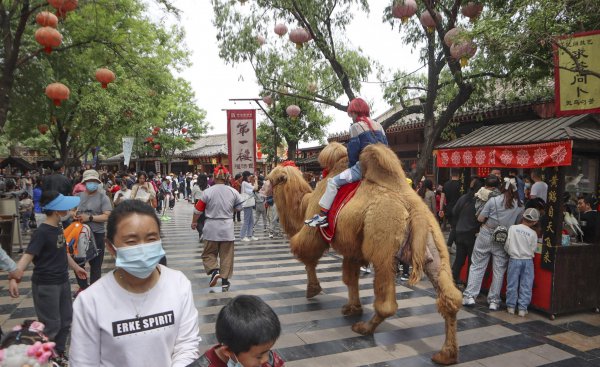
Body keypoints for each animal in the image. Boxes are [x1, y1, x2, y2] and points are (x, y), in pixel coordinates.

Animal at [266, 142, 464, 366]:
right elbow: (350, 278)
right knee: (450, 296)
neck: (304, 203)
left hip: (383, 246)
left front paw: (313, 290)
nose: (264, 190)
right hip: (434, 244)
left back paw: (364, 328)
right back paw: (446, 354)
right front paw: (353, 307)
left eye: (273, 177)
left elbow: (307, 255)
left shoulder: (314, 232)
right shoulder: (353, 248)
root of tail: (415, 211)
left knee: (387, 303)